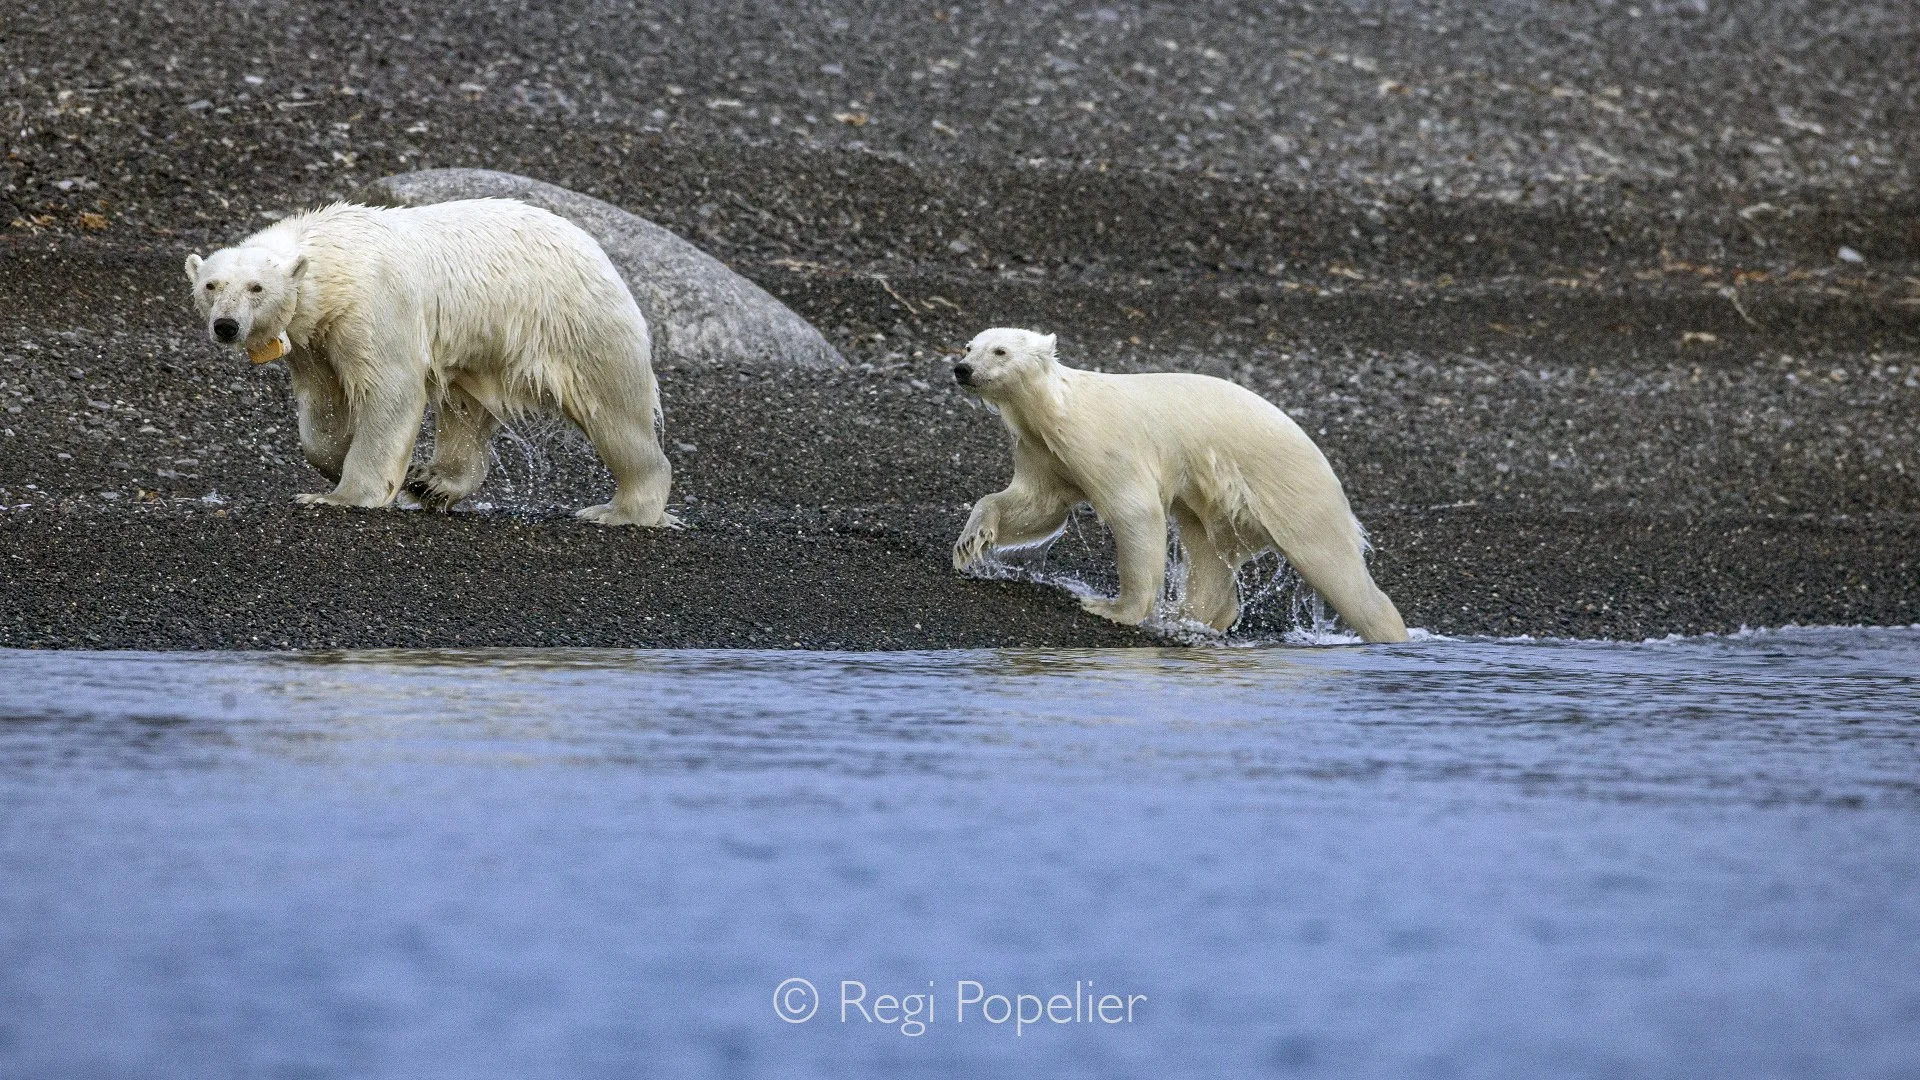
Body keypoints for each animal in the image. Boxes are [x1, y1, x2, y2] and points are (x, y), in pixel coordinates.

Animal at [186, 198, 675, 526]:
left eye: (256, 287)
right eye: (211, 285)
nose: (226, 325)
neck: (336, 259)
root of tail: (598, 253)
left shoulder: (373, 306)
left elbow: (391, 390)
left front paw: (341, 496)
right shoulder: (314, 338)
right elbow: (322, 405)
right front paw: (353, 463)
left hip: (573, 322)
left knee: (613, 409)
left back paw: (620, 510)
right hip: (485, 343)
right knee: (465, 408)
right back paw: (434, 481)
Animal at [949, 327, 1409, 643]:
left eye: (1001, 350)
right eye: (969, 346)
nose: (962, 369)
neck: (1055, 409)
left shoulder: (1100, 441)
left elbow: (1135, 511)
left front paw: (1112, 608)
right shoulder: (1042, 448)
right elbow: (1039, 503)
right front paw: (971, 542)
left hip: (1291, 488)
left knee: (1332, 564)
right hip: (1219, 499)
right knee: (1208, 550)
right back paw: (1189, 615)